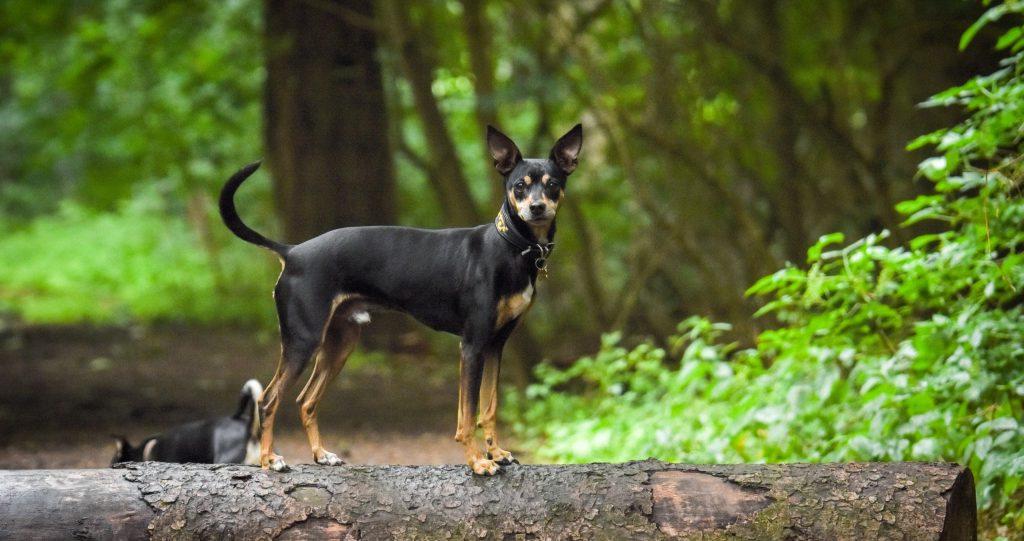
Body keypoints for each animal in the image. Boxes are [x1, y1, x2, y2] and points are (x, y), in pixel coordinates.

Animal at [219, 124, 581, 475]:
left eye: (552, 185)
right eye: (519, 186)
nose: (537, 207)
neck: (508, 247)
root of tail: (292, 252)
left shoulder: (495, 345)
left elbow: (489, 407)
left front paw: (497, 453)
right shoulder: (472, 345)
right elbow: (467, 415)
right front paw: (478, 462)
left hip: (340, 343)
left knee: (305, 401)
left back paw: (321, 456)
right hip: (303, 342)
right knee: (269, 400)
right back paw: (269, 460)